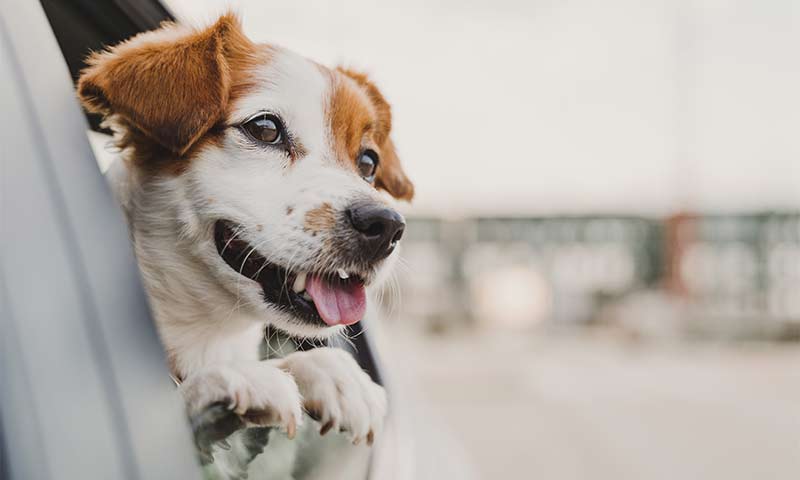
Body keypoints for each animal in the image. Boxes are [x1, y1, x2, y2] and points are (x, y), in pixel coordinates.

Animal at [78, 12, 416, 480]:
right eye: (265, 129)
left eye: (368, 162)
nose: (386, 226)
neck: (209, 333)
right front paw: (226, 380)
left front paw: (332, 372)